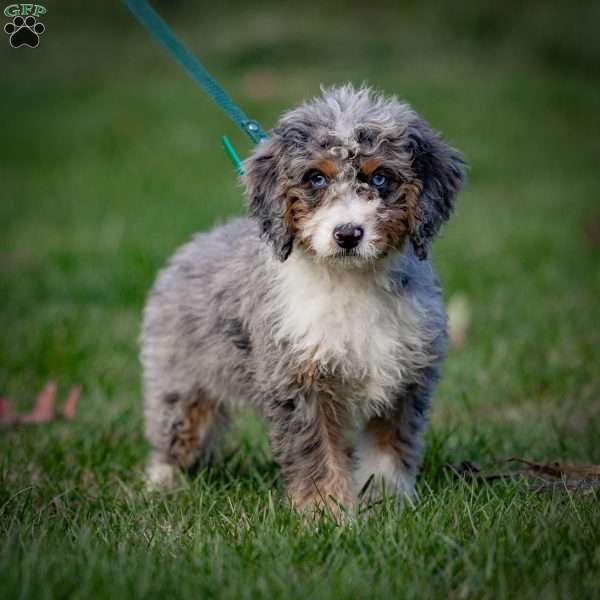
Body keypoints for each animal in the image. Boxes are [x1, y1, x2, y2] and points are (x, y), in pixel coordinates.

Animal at [141, 84, 464, 510]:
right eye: (316, 178)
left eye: (380, 177)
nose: (347, 234)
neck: (350, 283)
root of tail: (196, 243)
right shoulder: (298, 380)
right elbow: (318, 454)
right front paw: (326, 512)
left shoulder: (406, 377)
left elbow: (389, 449)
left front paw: (386, 503)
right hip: (182, 380)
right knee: (176, 435)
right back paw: (161, 484)